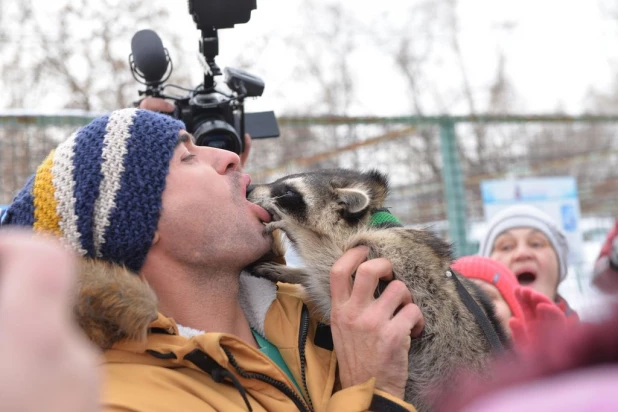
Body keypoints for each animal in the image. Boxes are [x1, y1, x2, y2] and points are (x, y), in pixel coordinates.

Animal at [248, 168, 508, 412]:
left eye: (288, 192)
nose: (249, 187)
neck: (369, 220)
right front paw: (293, 272)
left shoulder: (389, 260)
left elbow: (325, 272)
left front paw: (294, 233)